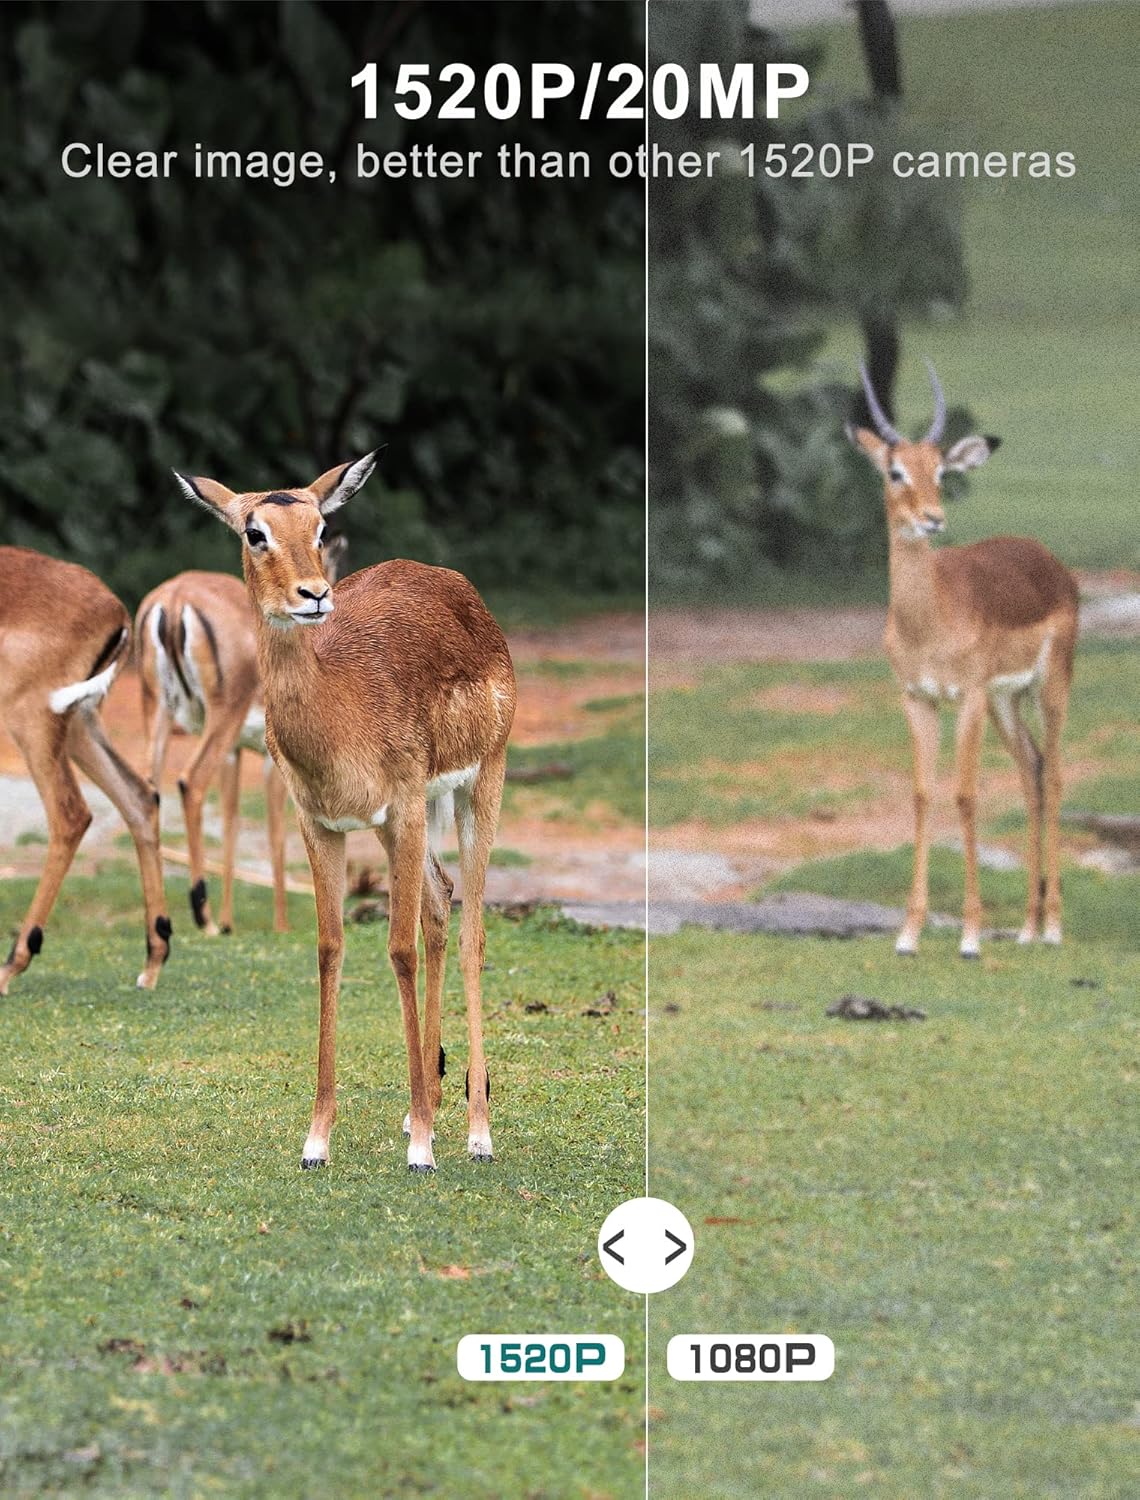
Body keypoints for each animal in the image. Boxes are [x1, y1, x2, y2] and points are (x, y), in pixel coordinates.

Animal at [0, 546, 172, 995]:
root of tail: (115, 609)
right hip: (76, 721)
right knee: (140, 797)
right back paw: (153, 961)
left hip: (34, 721)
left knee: (71, 814)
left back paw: (11, 965)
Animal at [134, 541, 346, 937]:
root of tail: (174, 598)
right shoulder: (273, 761)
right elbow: (277, 833)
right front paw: (281, 926)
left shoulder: (234, 754)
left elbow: (231, 825)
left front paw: (230, 921)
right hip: (219, 721)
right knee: (190, 783)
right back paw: (203, 918)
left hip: (158, 712)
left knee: (143, 791)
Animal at [171, 454, 516, 1171]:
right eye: (254, 532)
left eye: (320, 524)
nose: (313, 595)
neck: (342, 712)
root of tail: (464, 592)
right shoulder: (324, 825)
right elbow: (330, 948)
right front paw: (317, 1140)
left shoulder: (401, 808)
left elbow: (398, 949)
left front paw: (421, 1148)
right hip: (414, 822)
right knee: (441, 900)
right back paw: (427, 1109)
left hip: (479, 786)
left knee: (472, 926)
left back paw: (475, 1133)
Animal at [847, 361, 1078, 959]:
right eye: (895, 470)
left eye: (940, 470)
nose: (933, 519)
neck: (928, 616)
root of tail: (1049, 560)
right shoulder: (918, 699)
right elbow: (922, 795)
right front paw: (908, 934)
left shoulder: (968, 698)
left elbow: (967, 796)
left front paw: (970, 937)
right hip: (1006, 701)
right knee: (1031, 769)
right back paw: (1026, 927)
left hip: (1049, 688)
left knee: (1055, 774)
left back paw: (1053, 928)